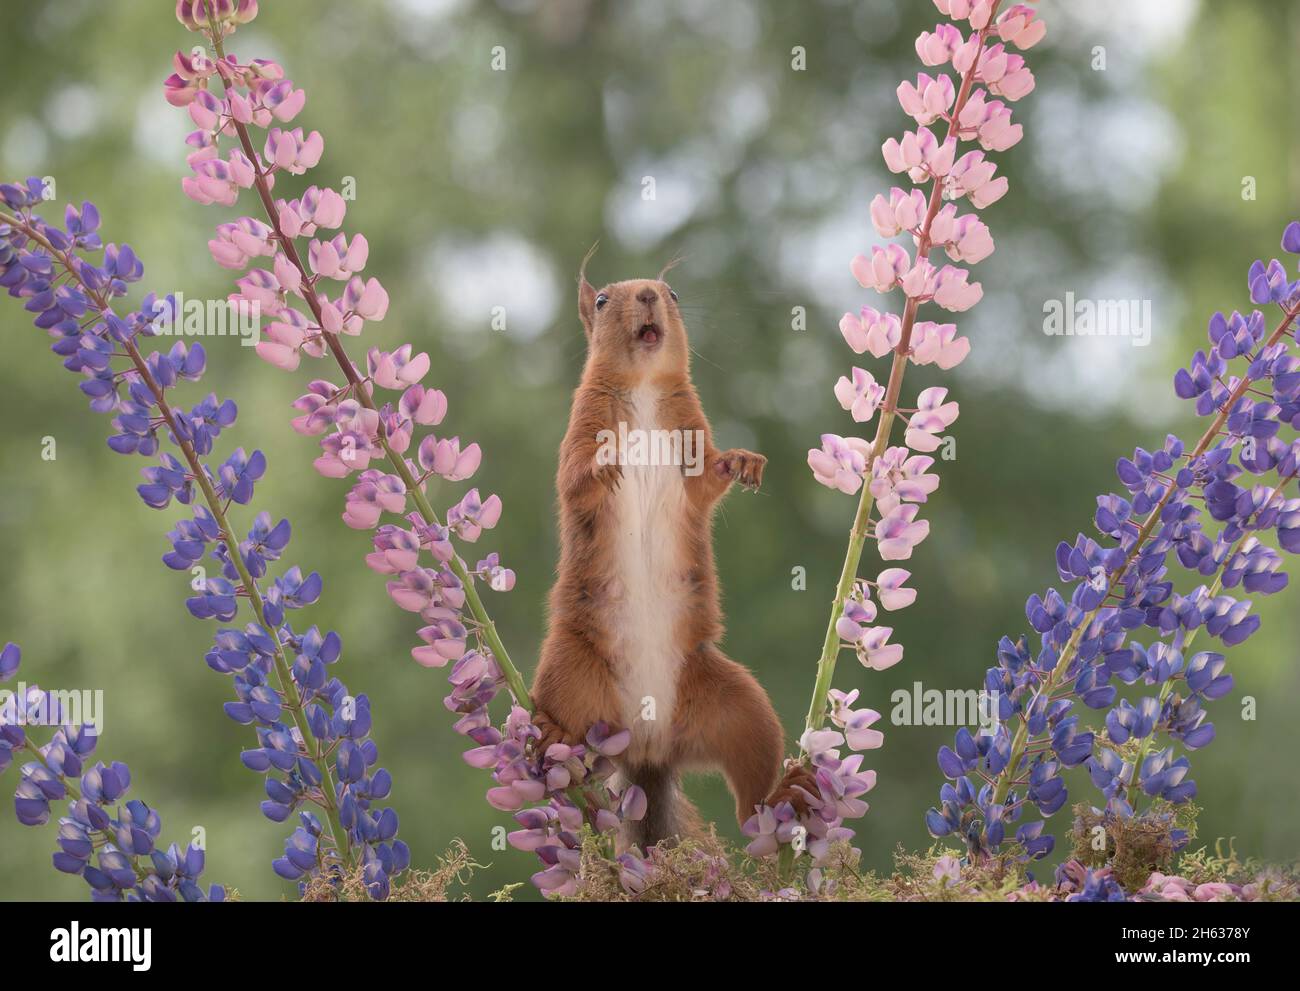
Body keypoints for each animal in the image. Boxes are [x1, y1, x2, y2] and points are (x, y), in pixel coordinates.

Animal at [530, 252, 815, 850]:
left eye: (674, 293)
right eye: (601, 301)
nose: (647, 296)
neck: (641, 386)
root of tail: (647, 747)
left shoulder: (692, 436)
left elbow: (708, 479)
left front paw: (743, 461)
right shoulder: (578, 430)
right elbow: (574, 480)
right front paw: (606, 465)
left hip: (739, 708)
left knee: (749, 801)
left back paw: (782, 796)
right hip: (570, 671)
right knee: (569, 726)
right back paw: (548, 729)